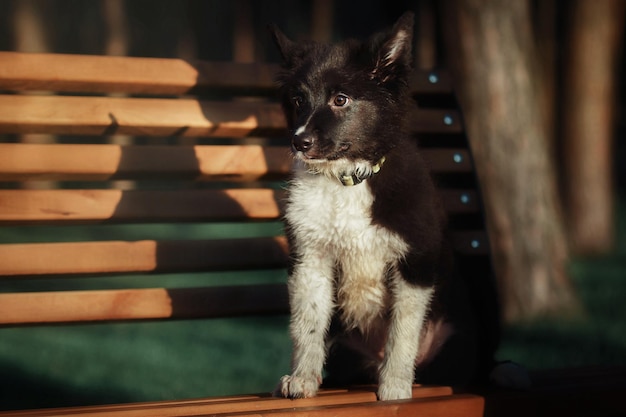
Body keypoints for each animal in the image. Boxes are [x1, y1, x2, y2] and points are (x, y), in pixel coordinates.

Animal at [268, 13, 478, 400]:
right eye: (299, 99)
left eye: (340, 99)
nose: (299, 142)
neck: (346, 178)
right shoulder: (310, 258)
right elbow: (307, 322)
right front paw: (302, 379)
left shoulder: (415, 262)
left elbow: (403, 330)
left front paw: (395, 386)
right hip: (346, 354)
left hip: (457, 344)